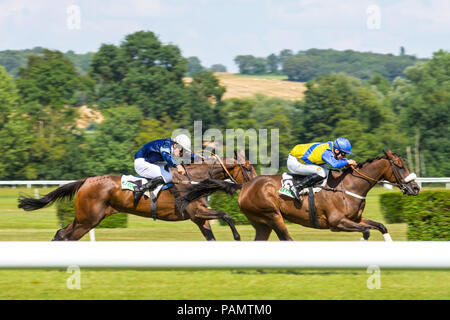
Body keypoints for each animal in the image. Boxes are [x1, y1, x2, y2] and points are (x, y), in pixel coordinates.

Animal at [18, 156, 256, 242]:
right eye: (248, 169)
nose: (255, 182)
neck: (193, 180)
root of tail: (86, 180)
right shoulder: (196, 212)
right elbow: (226, 215)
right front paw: (237, 237)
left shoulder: (199, 217)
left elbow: (211, 237)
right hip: (88, 219)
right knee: (66, 236)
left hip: (87, 218)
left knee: (62, 234)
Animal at [177, 151, 422, 241]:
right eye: (400, 165)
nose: (416, 188)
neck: (348, 186)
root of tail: (245, 185)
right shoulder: (337, 223)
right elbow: (366, 232)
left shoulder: (355, 219)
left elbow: (380, 226)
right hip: (272, 215)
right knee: (286, 238)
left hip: (261, 222)